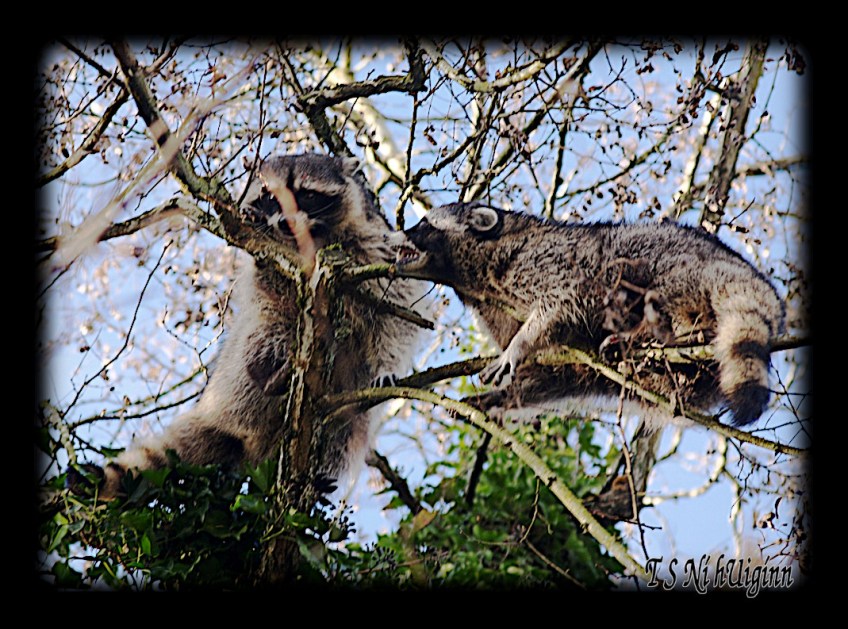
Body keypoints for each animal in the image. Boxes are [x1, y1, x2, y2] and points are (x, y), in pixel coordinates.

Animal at [72, 154, 426, 499]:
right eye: (270, 197)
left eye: (308, 195)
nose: (283, 222)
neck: (314, 238)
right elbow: (269, 286)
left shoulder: (375, 248)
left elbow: (396, 317)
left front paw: (386, 365)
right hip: (235, 376)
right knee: (267, 330)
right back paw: (268, 372)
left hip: (345, 413)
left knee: (341, 435)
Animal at [398, 201, 785, 427]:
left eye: (424, 224)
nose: (399, 232)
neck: (473, 280)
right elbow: (554, 375)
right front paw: (502, 397)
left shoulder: (548, 262)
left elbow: (561, 306)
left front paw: (520, 345)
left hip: (680, 265)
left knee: (641, 266)